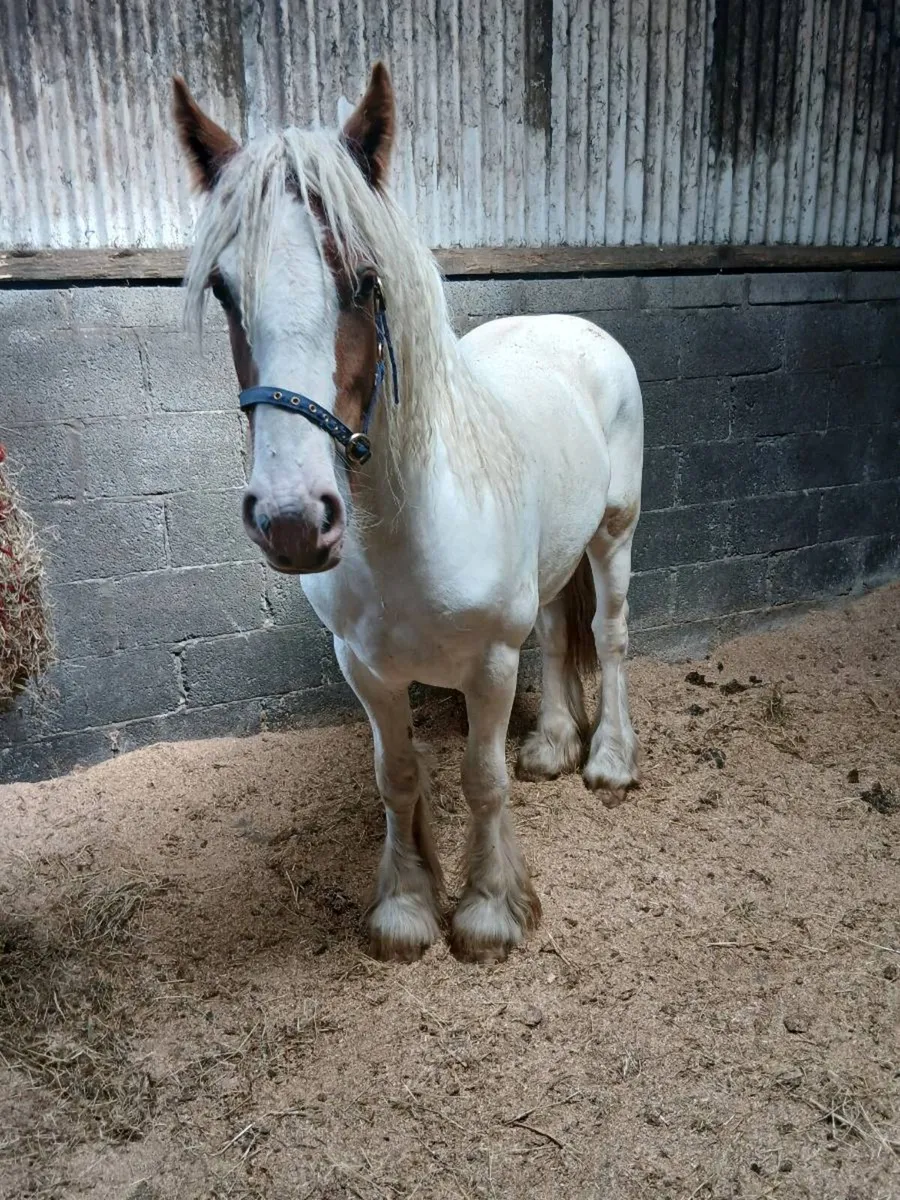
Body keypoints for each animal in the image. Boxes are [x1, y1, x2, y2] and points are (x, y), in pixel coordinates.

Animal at [173, 62, 643, 965]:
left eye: (364, 281)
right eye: (223, 289)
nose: (293, 519)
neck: (407, 532)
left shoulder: (489, 664)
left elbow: (482, 778)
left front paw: (490, 912)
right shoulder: (364, 669)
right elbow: (397, 779)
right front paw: (405, 908)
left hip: (613, 535)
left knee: (606, 635)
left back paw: (607, 761)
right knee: (557, 634)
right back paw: (552, 746)